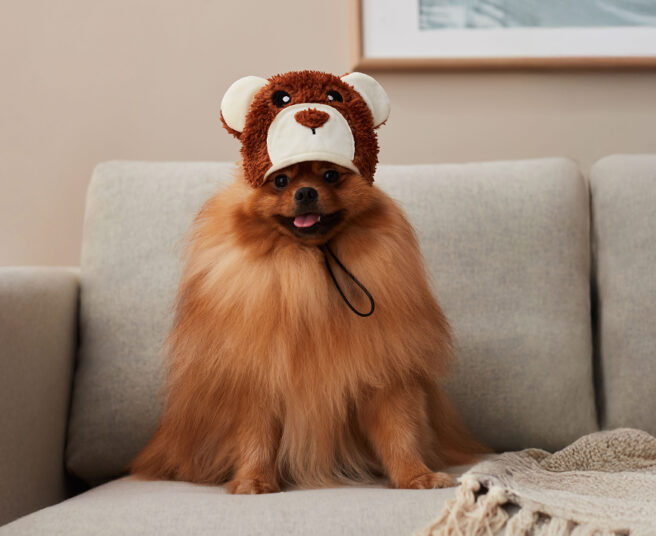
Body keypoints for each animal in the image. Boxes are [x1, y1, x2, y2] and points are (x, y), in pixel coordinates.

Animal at [130, 71, 483, 494]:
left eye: (330, 175)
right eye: (280, 181)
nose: (305, 191)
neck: (308, 264)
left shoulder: (386, 376)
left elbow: (400, 433)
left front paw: (416, 475)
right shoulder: (256, 383)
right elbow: (256, 438)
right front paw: (253, 480)